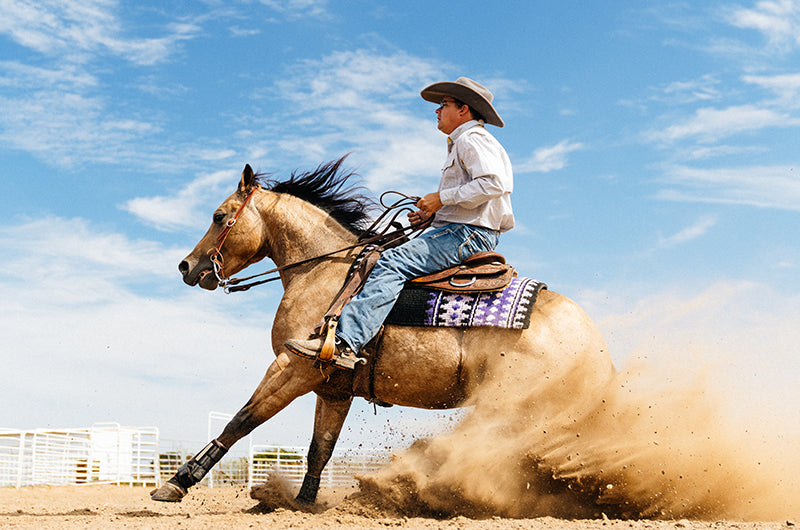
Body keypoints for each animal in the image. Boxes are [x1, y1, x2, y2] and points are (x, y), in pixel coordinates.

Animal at [150, 157, 615, 505]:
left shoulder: (293, 367)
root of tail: (595, 343)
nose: (187, 266)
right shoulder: (332, 389)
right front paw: (303, 503)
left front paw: (177, 482)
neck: (325, 272)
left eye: (219, 216)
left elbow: (242, 420)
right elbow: (319, 450)